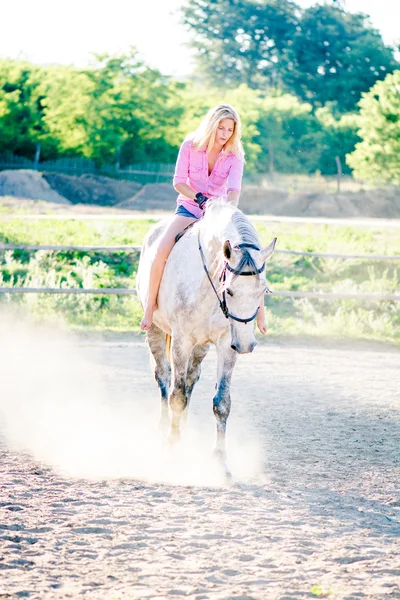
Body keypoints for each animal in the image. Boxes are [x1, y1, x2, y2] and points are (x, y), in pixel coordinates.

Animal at [137, 202, 276, 468]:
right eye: (228, 290)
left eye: (263, 290)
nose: (246, 344)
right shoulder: (181, 341)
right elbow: (177, 396)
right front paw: (172, 446)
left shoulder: (226, 344)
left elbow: (222, 402)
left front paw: (220, 460)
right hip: (157, 330)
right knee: (163, 377)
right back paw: (163, 428)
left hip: (201, 345)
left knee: (191, 379)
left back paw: (185, 429)